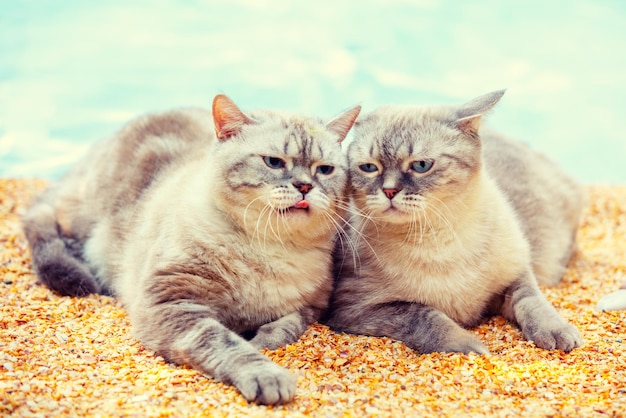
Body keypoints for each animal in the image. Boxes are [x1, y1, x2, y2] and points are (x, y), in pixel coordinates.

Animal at [24, 95, 360, 404]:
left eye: (324, 170)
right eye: (274, 162)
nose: (305, 187)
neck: (270, 246)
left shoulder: (308, 308)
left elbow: (281, 330)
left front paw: (258, 341)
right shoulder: (172, 302)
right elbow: (226, 342)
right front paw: (267, 376)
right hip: (80, 218)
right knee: (39, 224)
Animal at [324, 90, 584, 354]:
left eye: (421, 165)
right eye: (369, 167)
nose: (389, 191)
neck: (438, 238)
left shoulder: (516, 274)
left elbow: (531, 301)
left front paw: (555, 332)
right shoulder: (358, 309)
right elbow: (426, 317)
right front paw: (469, 348)